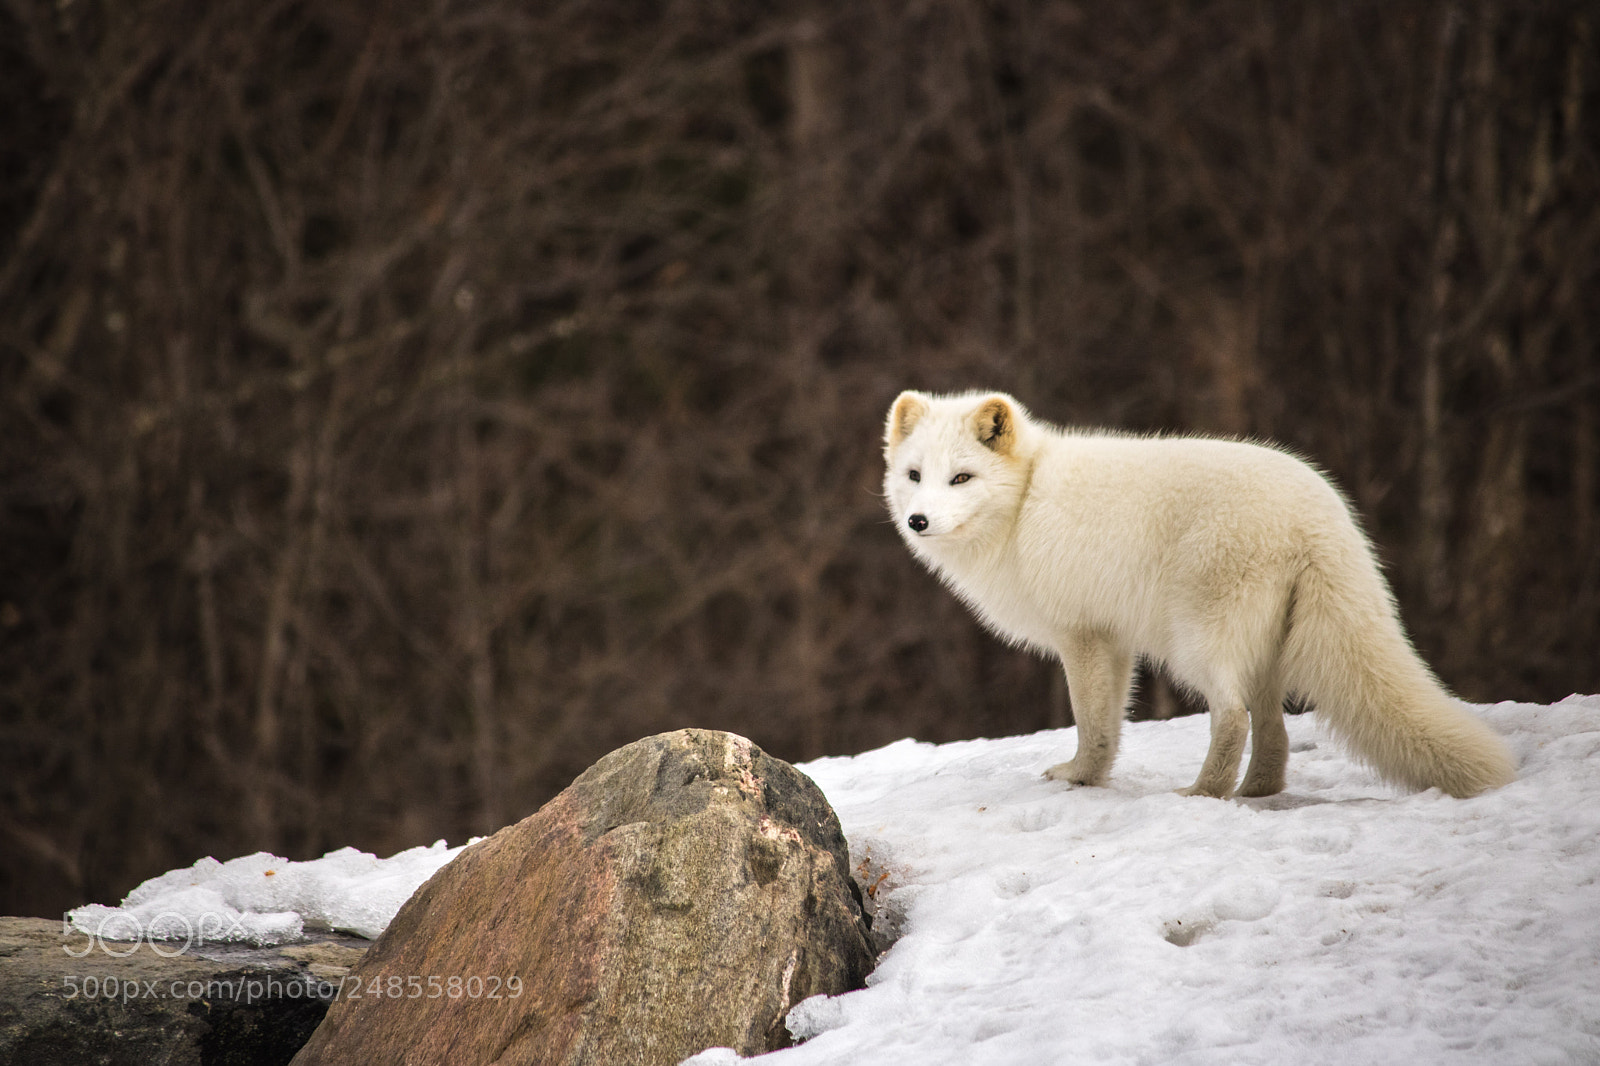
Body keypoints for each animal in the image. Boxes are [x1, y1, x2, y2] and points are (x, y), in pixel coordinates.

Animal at [882, 389, 1517, 799]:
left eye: (961, 478)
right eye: (915, 476)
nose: (918, 521)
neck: (1023, 503)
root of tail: (1321, 516)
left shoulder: (1082, 635)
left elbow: (1091, 723)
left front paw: (1081, 778)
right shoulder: (1115, 641)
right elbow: (1111, 725)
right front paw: (1096, 777)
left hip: (1199, 641)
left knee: (1233, 718)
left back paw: (1203, 792)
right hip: (1261, 647)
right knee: (1273, 730)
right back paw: (1254, 792)